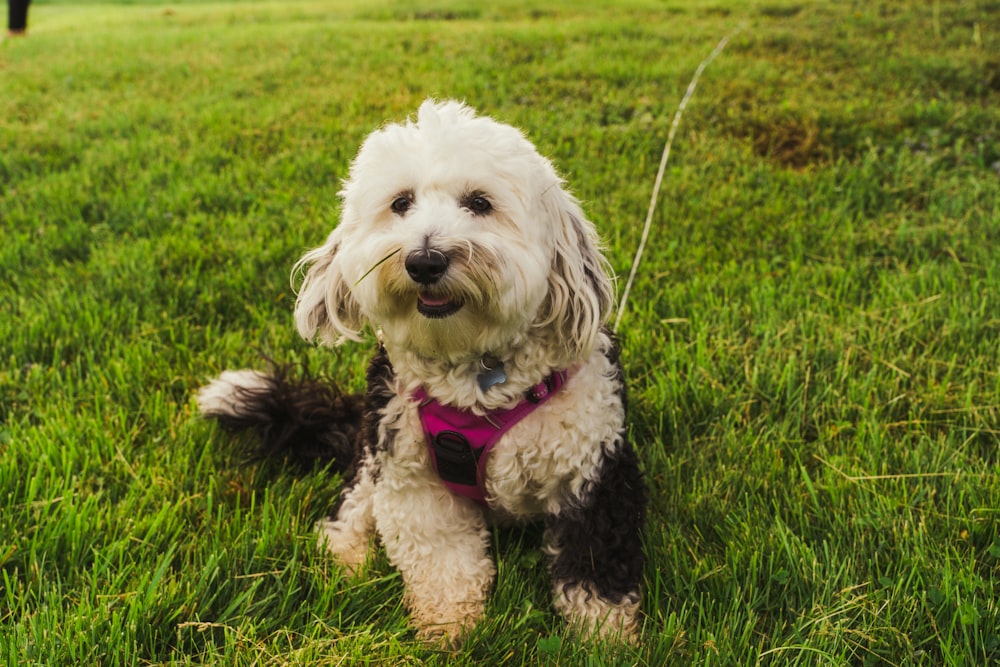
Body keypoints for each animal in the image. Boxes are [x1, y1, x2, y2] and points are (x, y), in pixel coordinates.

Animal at [196, 100, 648, 648]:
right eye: (401, 203)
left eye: (479, 203)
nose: (424, 260)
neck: (479, 378)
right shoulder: (412, 475)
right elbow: (442, 561)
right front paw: (448, 628)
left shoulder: (593, 471)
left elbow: (594, 567)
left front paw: (605, 638)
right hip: (373, 447)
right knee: (354, 501)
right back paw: (345, 559)